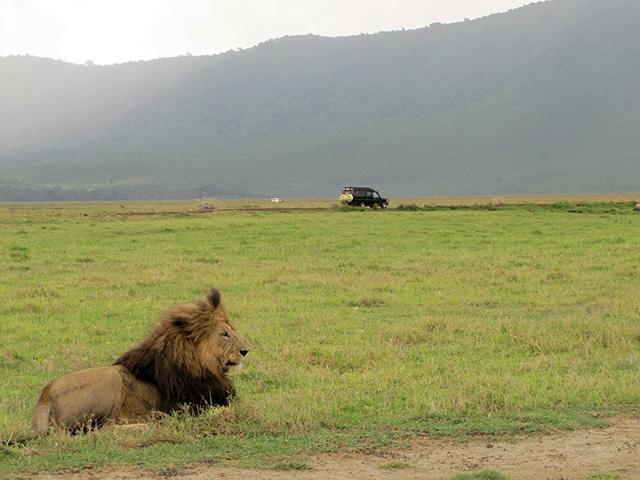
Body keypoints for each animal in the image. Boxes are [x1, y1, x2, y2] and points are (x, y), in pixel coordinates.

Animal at [8, 286, 248, 444]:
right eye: (225, 334)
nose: (246, 351)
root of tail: (44, 398)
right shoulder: (201, 404)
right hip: (111, 379)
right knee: (99, 431)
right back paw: (147, 425)